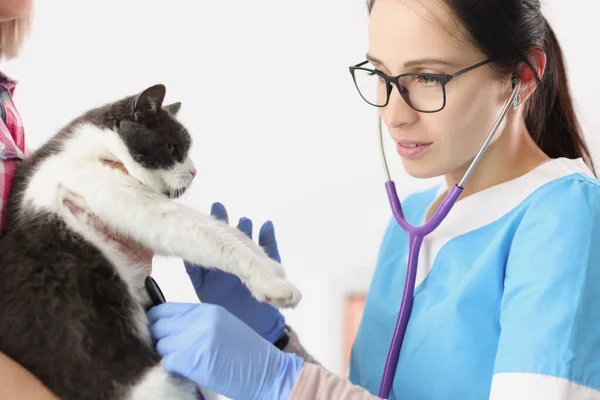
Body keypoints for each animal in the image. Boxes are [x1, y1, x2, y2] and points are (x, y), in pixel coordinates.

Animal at [0, 84, 302, 400]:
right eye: (173, 148)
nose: (194, 171)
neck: (95, 147)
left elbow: (223, 229)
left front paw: (269, 263)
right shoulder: (130, 201)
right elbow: (210, 233)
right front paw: (273, 284)